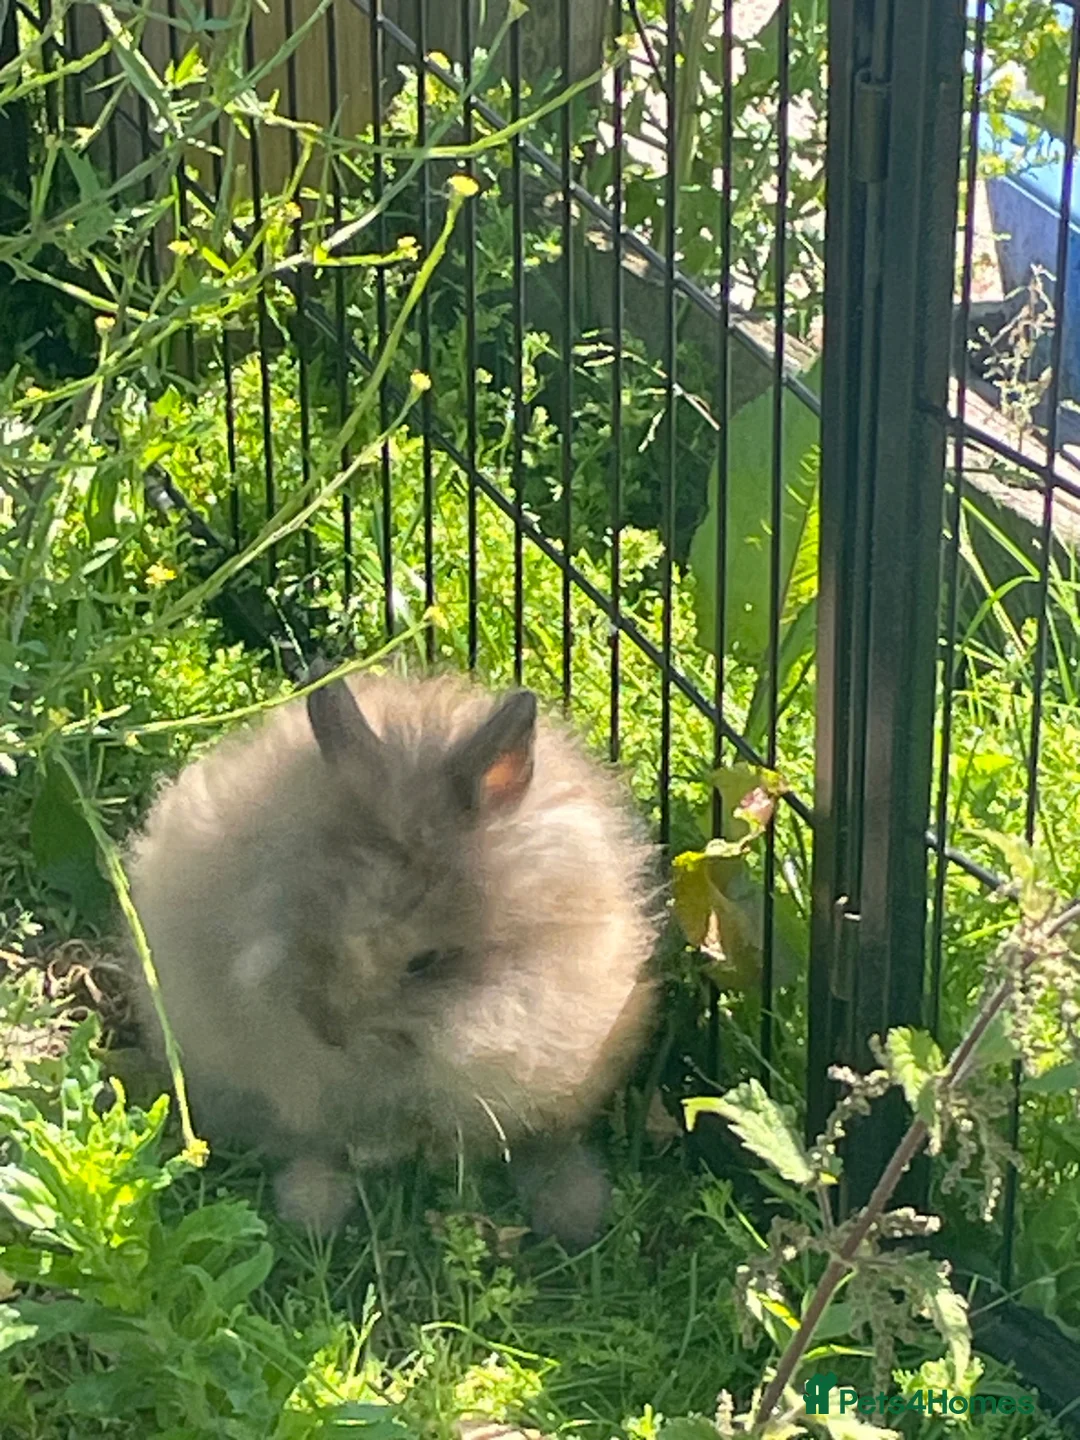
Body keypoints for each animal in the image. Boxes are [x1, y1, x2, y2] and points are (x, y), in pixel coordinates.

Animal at [124, 666, 661, 1249]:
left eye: (424, 961)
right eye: (315, 921)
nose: (329, 1030)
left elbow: (543, 1141)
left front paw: (577, 1214)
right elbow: (318, 1141)